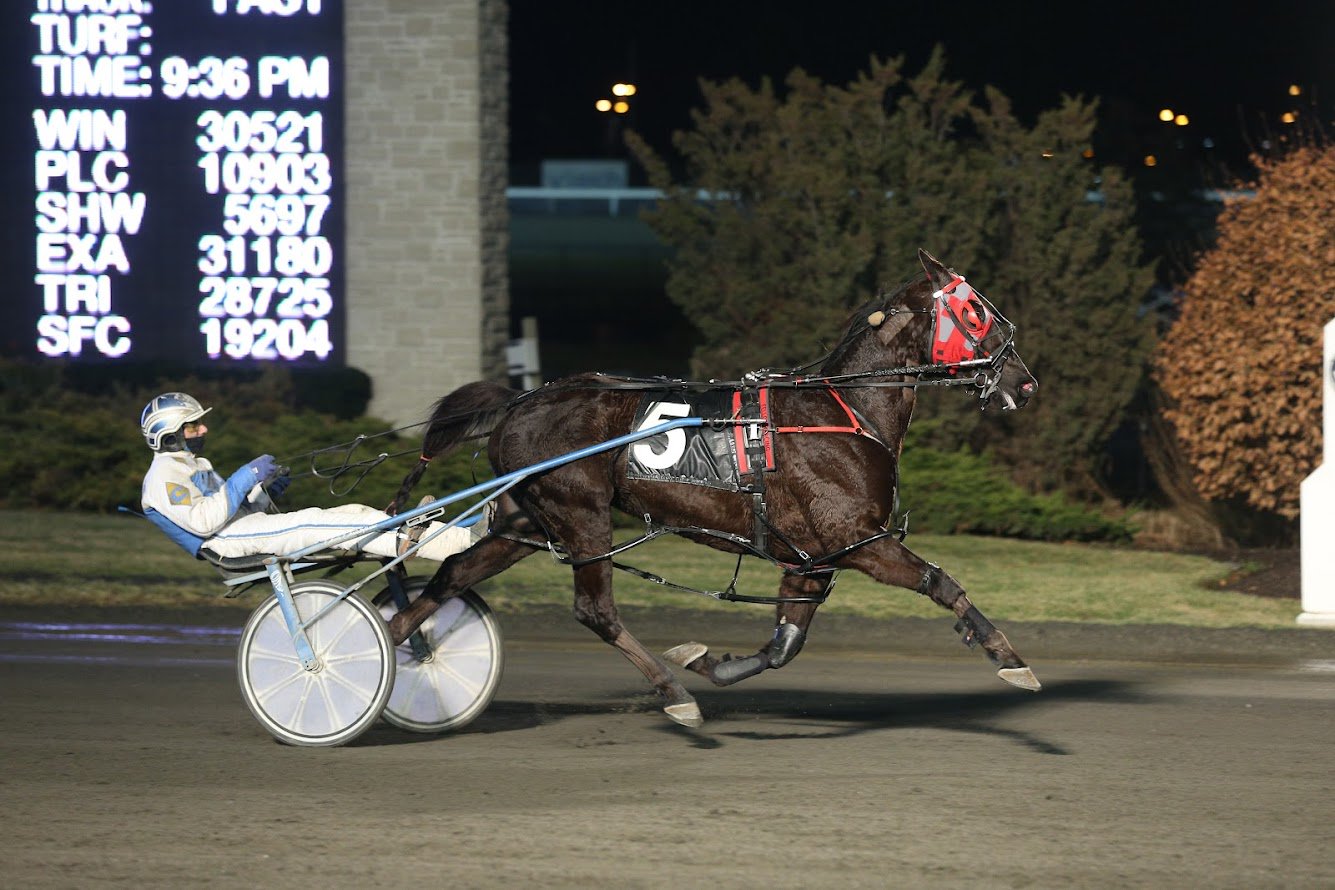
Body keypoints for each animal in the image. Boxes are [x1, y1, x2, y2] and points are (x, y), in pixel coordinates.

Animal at [389, 246, 1041, 725]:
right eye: (977, 314)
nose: (1024, 382)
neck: (843, 408)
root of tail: (520, 401)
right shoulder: (858, 539)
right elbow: (942, 583)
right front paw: (1008, 656)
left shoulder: (811, 556)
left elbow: (783, 645)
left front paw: (709, 662)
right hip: (581, 515)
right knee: (595, 610)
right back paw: (673, 694)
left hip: (526, 521)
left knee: (453, 573)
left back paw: (392, 645)